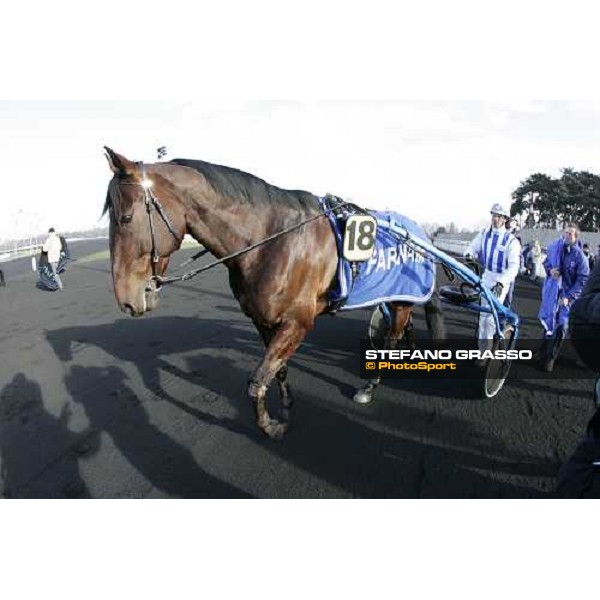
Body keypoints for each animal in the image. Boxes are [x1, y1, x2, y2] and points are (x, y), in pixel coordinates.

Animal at [103, 149, 442, 440]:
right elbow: (276, 371)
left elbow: (256, 382)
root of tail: (421, 232)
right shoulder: (263, 321)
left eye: (125, 218)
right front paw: (287, 410)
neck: (269, 239)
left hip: (402, 299)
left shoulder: (298, 322)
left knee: (393, 337)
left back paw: (371, 385)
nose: (125, 300)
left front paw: (270, 426)